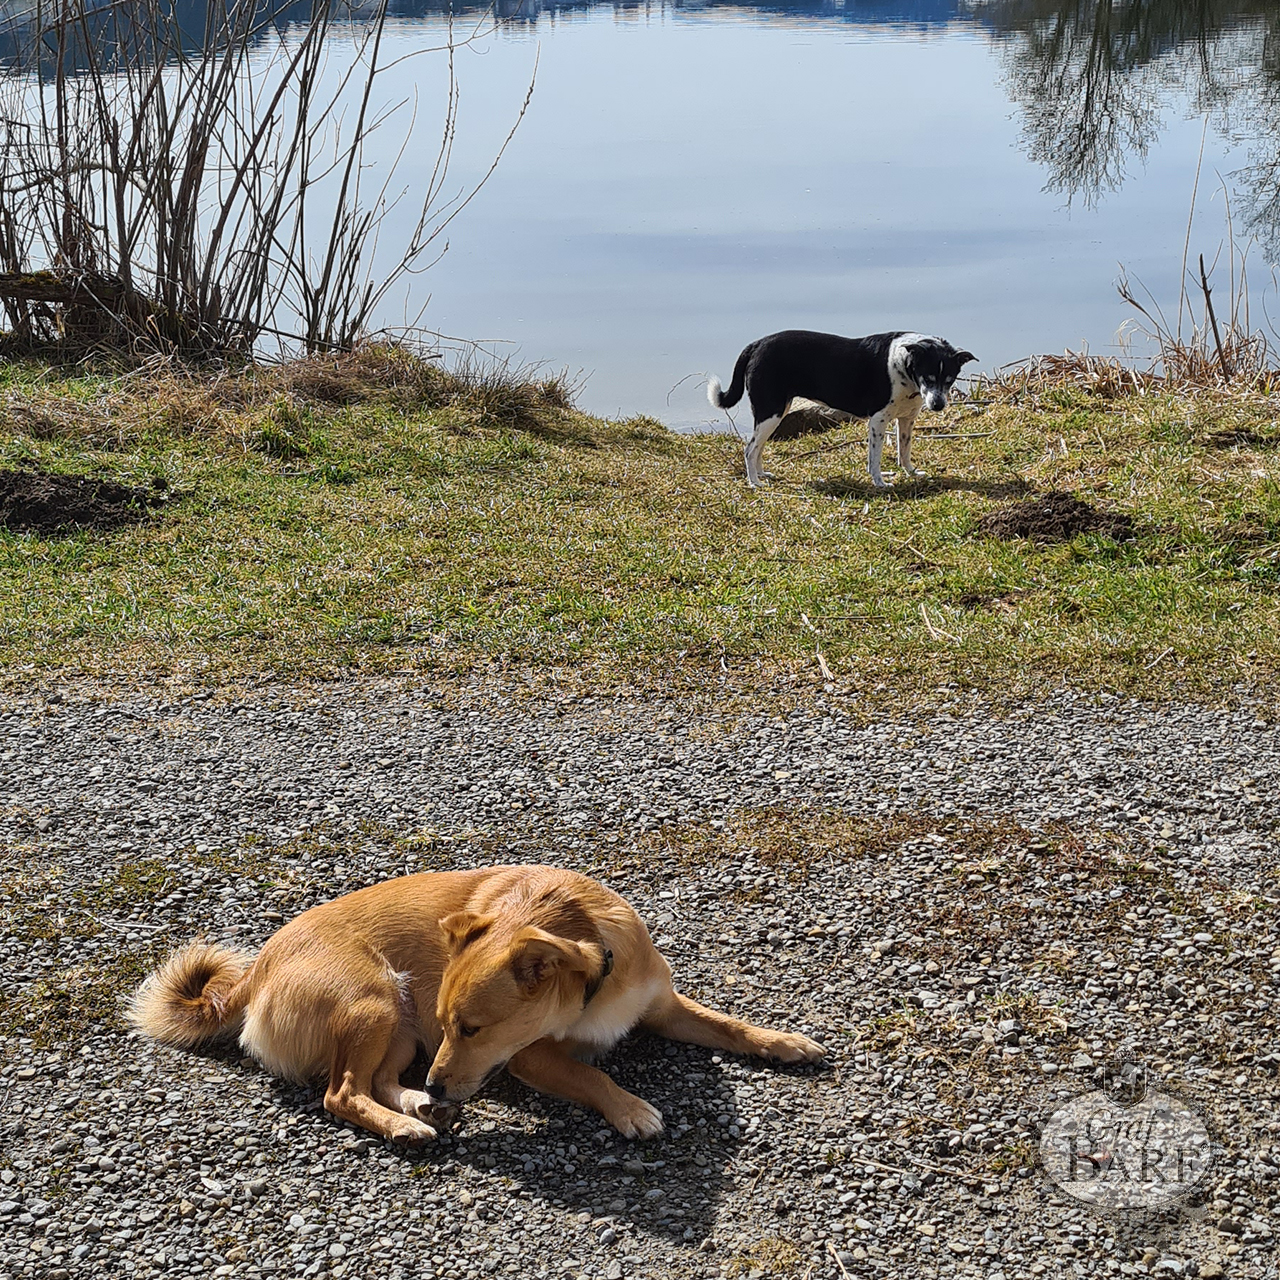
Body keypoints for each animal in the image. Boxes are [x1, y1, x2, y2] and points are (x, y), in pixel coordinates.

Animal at [127, 865, 819, 1146]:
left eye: (471, 1028)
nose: (440, 1079)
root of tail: (257, 971)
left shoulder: (661, 1006)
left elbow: (726, 1024)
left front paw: (782, 1041)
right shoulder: (531, 1059)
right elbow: (591, 1073)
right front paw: (628, 1108)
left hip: (399, 1024)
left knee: (377, 1079)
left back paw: (416, 1104)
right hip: (379, 1003)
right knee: (340, 1092)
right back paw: (409, 1121)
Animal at [716, 330, 972, 488]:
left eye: (949, 379)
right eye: (928, 377)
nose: (938, 405)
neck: (903, 365)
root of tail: (756, 344)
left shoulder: (907, 419)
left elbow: (904, 451)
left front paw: (911, 472)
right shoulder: (878, 421)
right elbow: (875, 458)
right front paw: (880, 483)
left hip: (776, 413)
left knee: (758, 447)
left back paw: (761, 474)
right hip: (771, 411)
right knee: (750, 449)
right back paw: (754, 482)